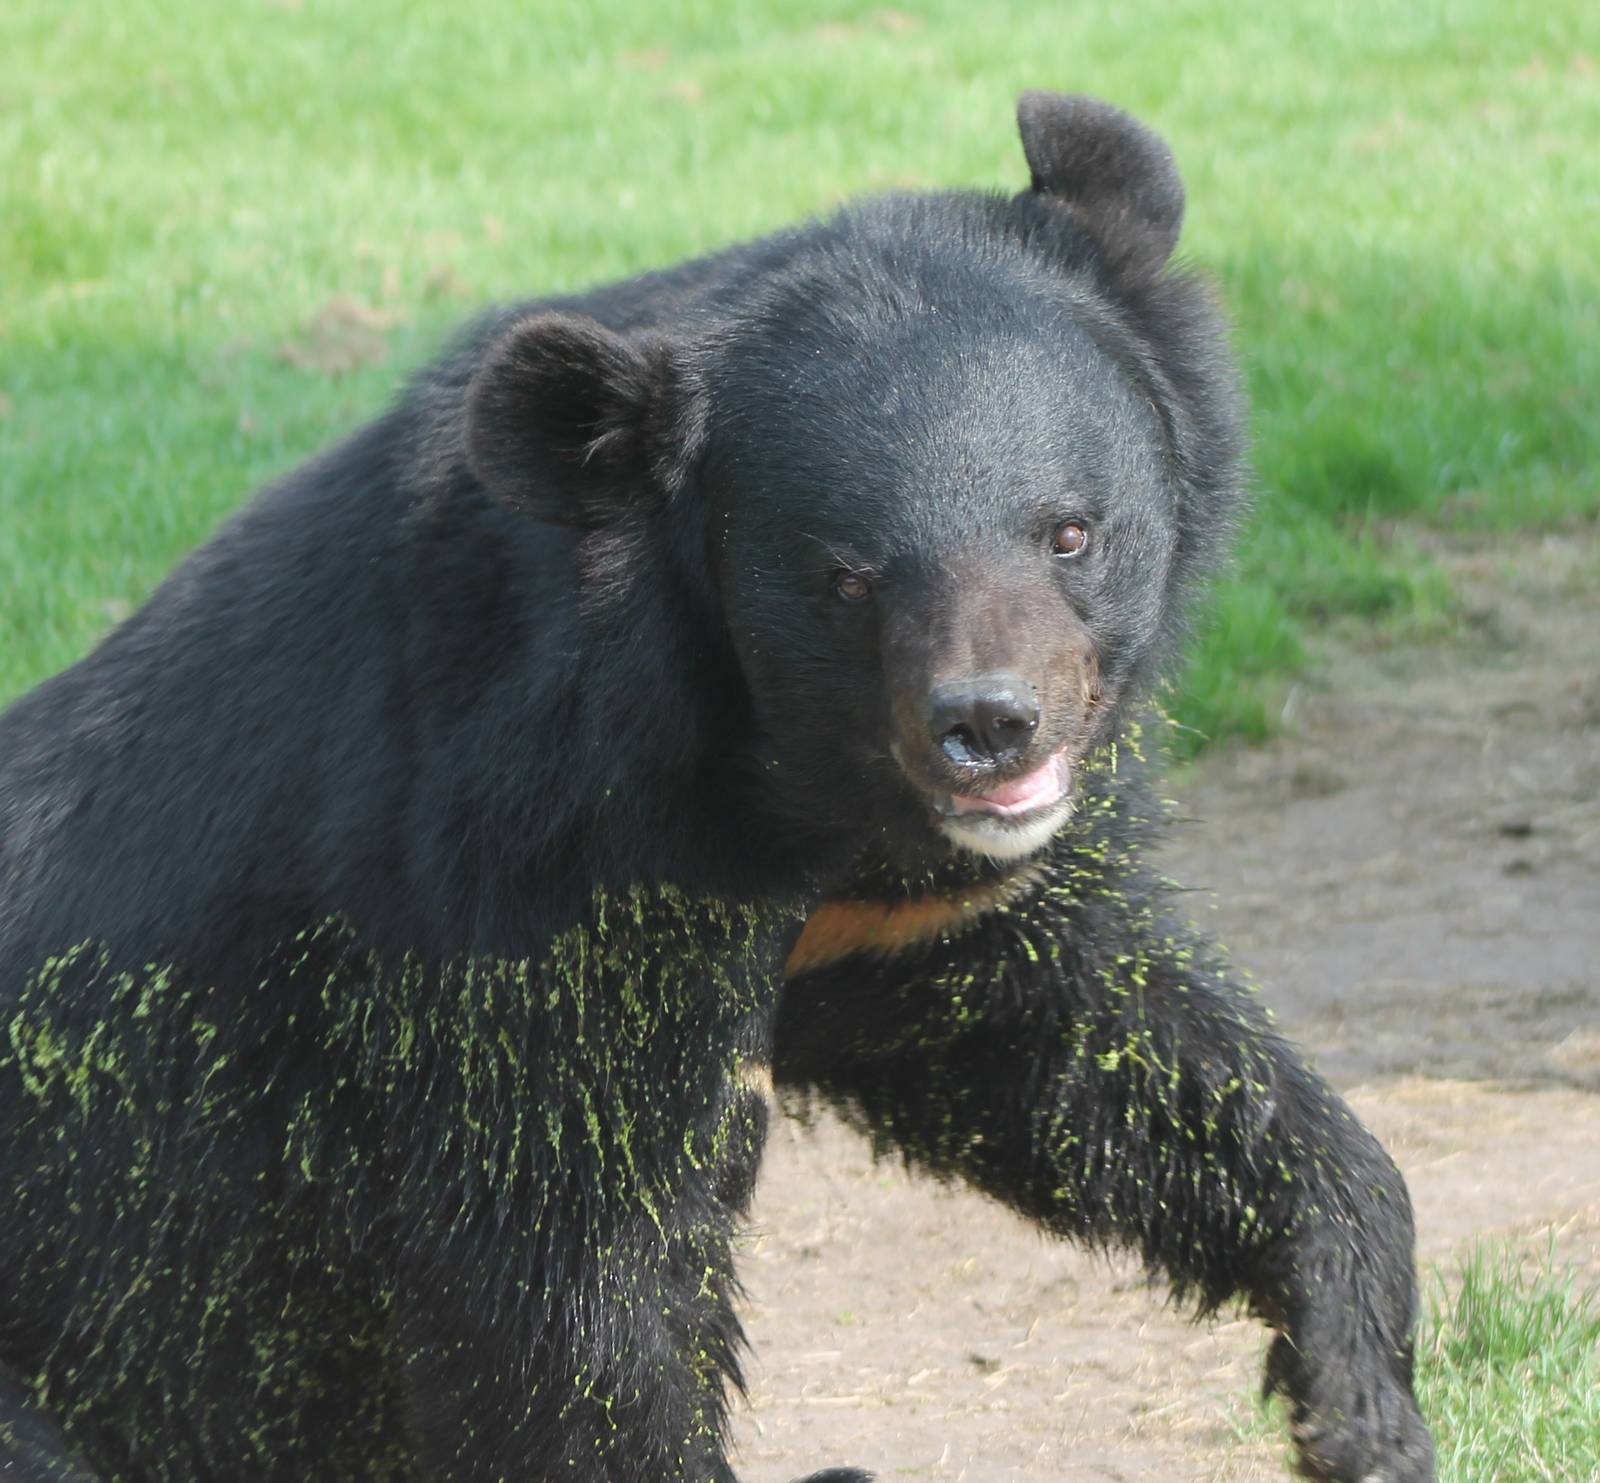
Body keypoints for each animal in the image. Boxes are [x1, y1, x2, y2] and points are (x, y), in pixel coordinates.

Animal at [0, 93, 1434, 1482]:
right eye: (845, 577)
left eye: (1069, 532)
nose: (988, 730)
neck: (780, 786)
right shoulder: (515, 892)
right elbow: (572, 1284)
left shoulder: (903, 922)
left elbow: (1084, 1040)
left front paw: (1356, 1400)